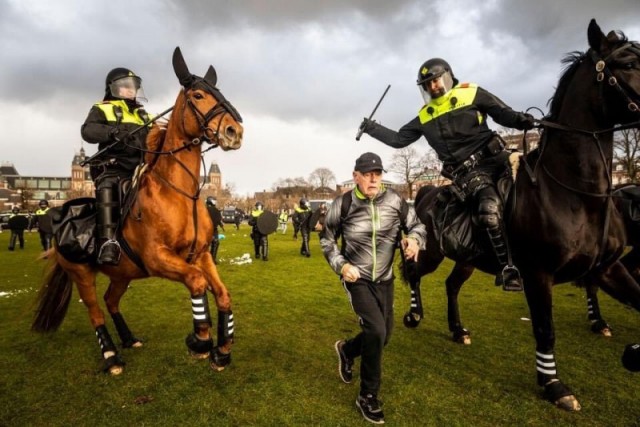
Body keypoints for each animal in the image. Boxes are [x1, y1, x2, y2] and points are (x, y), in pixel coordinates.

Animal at [31, 46, 245, 374]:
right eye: (198, 95)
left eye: (219, 92)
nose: (235, 131)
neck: (180, 194)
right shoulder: (157, 258)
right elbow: (197, 282)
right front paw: (199, 341)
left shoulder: (201, 255)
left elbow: (222, 294)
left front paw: (222, 350)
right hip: (82, 273)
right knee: (95, 311)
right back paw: (110, 355)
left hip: (123, 273)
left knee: (111, 300)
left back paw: (129, 339)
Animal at [408, 20, 636, 412]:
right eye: (626, 64)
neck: (576, 194)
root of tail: (425, 192)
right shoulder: (537, 274)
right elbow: (545, 329)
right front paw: (554, 385)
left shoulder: (608, 268)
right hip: (433, 252)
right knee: (412, 271)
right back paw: (413, 313)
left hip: (468, 257)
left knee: (451, 285)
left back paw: (457, 329)